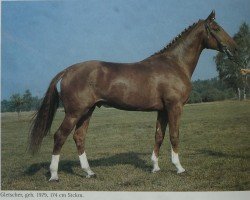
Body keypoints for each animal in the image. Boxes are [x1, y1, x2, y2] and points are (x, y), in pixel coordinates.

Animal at [28, 10, 236, 180]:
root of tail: (68, 70)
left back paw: (89, 172)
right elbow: (174, 135)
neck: (174, 64)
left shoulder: (162, 110)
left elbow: (159, 136)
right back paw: (54, 175)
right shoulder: (174, 107)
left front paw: (155, 167)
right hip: (74, 113)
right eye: (216, 28)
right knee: (59, 136)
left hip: (87, 111)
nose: (234, 48)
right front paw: (179, 168)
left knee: (79, 137)